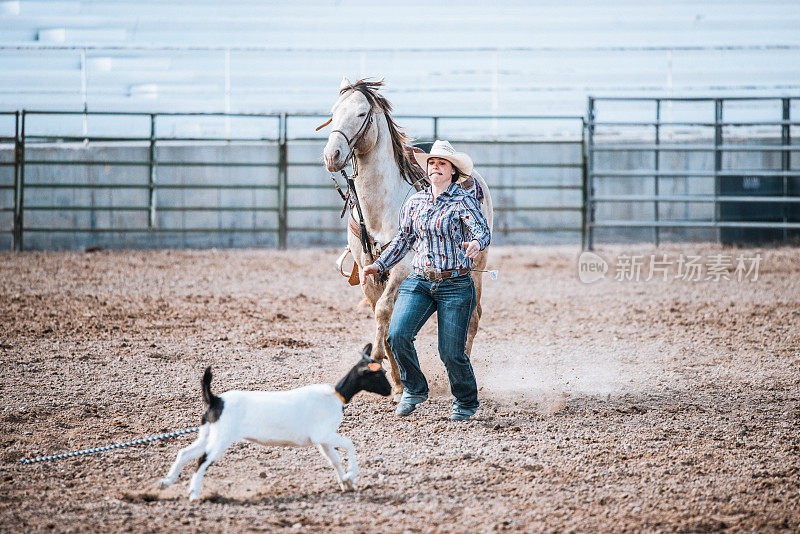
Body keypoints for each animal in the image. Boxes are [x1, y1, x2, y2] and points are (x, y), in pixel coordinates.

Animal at [159, 346, 390, 500]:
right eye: (378, 374)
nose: (389, 391)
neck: (336, 396)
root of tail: (216, 400)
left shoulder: (322, 441)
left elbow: (334, 460)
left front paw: (346, 483)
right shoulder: (323, 434)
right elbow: (349, 445)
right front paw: (351, 475)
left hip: (208, 433)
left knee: (185, 453)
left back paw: (166, 482)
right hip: (221, 437)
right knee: (203, 460)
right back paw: (194, 494)